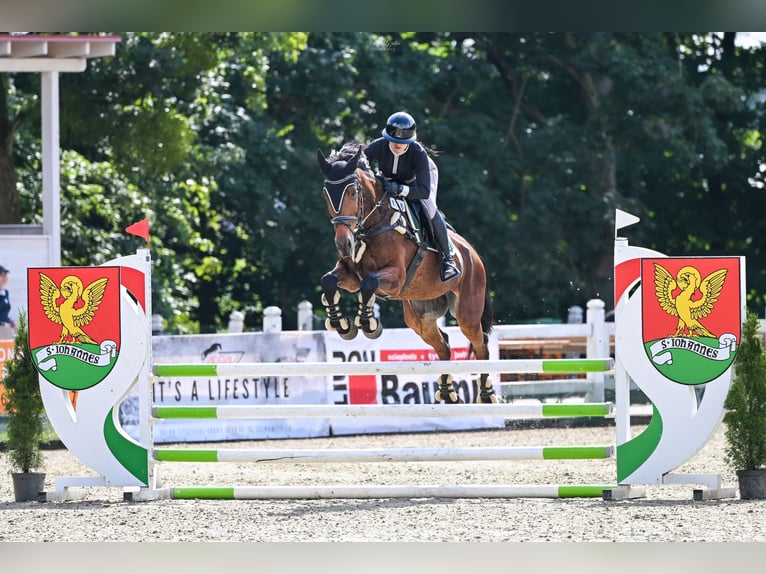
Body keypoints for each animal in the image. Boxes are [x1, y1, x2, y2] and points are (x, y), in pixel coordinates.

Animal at [316, 141, 499, 404]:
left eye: (352, 192)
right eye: (325, 194)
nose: (344, 245)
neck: (373, 224)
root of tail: (473, 254)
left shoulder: (395, 277)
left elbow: (368, 284)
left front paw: (368, 324)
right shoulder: (350, 276)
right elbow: (329, 282)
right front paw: (341, 324)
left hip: (467, 313)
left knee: (481, 343)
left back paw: (486, 394)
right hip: (419, 317)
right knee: (444, 345)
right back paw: (447, 393)